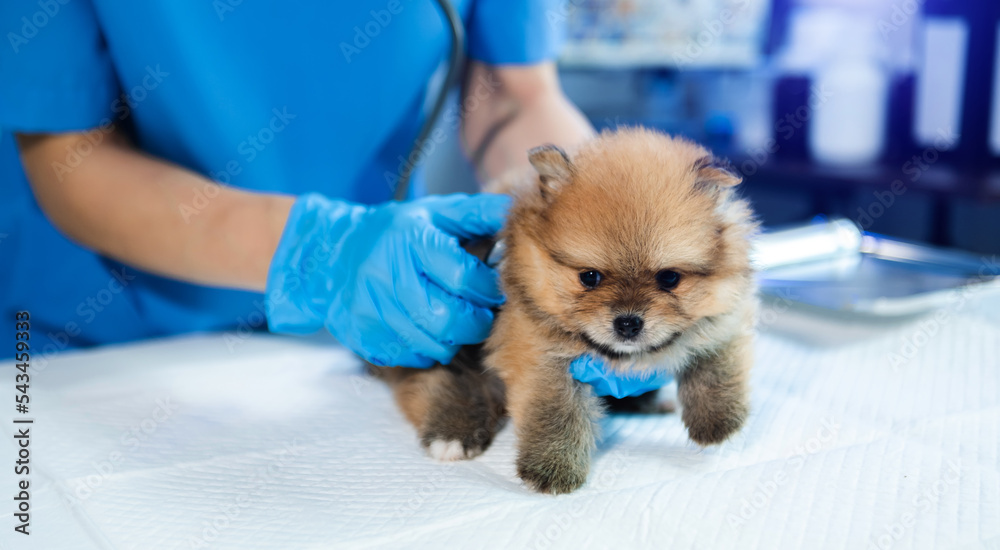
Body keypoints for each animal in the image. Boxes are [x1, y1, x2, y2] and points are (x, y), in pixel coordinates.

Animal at [376, 128, 756, 496]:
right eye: (589, 277)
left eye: (669, 278)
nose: (628, 323)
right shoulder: (539, 354)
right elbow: (557, 413)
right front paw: (552, 470)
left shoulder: (728, 309)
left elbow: (717, 356)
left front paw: (717, 422)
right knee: (437, 381)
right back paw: (452, 434)